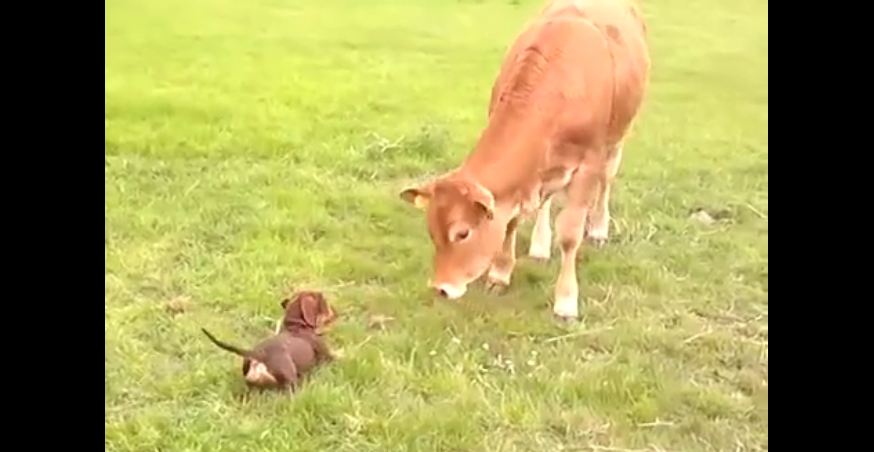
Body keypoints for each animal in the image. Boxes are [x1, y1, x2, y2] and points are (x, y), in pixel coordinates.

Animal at [201, 290, 338, 392]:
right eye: (325, 302)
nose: (336, 312)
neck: (296, 325)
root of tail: (259, 355)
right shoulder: (328, 356)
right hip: (289, 379)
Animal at [400, 0, 648, 320]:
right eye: (432, 231)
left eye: (463, 233)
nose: (441, 288)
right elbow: (511, 221)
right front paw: (500, 274)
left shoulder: (587, 165)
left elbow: (570, 234)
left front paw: (566, 301)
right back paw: (540, 246)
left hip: (616, 140)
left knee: (606, 180)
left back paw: (598, 229)